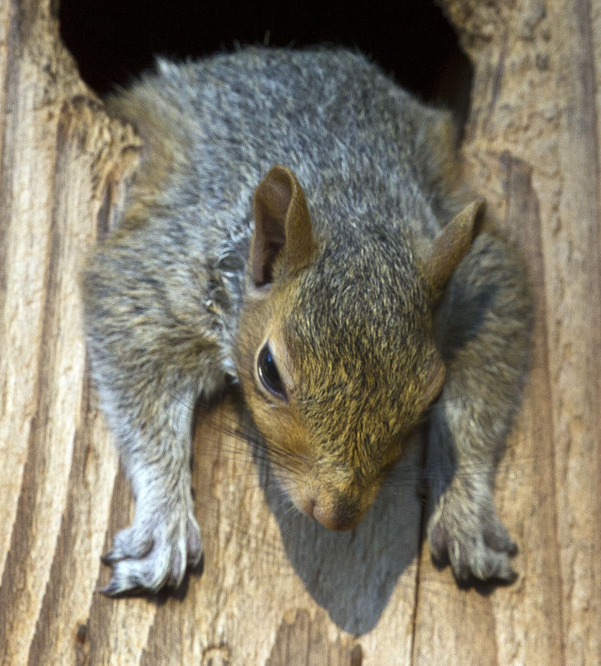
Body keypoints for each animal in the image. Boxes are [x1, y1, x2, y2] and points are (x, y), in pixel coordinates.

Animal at [82, 48, 532, 596]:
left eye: (431, 396)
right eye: (269, 372)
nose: (337, 514)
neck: (345, 202)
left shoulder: (480, 292)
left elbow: (478, 406)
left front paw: (468, 511)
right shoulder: (159, 278)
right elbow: (143, 399)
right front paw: (162, 524)